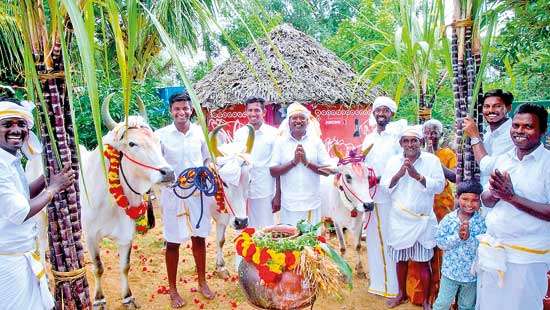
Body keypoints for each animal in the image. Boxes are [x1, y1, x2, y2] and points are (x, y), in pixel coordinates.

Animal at [322, 144, 378, 278]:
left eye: (368, 176)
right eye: (347, 176)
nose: (368, 205)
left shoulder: (360, 222)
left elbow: (358, 245)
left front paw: (360, 269)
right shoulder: (337, 222)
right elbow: (342, 247)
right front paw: (342, 270)